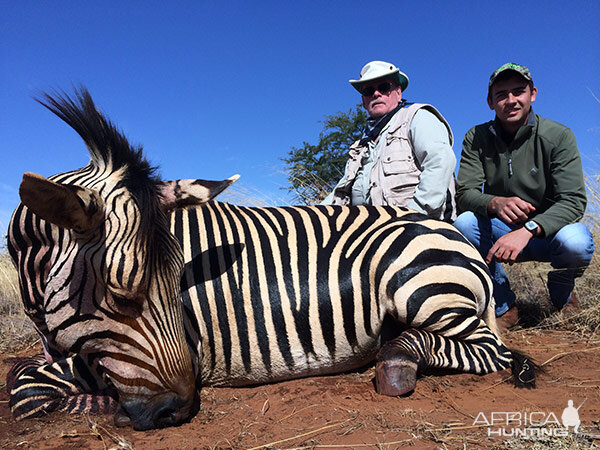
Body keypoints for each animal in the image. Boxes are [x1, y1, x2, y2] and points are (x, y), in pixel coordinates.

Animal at [7, 89, 536, 432]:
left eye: (178, 286)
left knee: (490, 351)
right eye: (120, 294)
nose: (174, 412)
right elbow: (25, 377)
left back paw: (397, 361)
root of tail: (452, 233)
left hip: (420, 286)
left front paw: (97, 404)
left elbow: (23, 386)